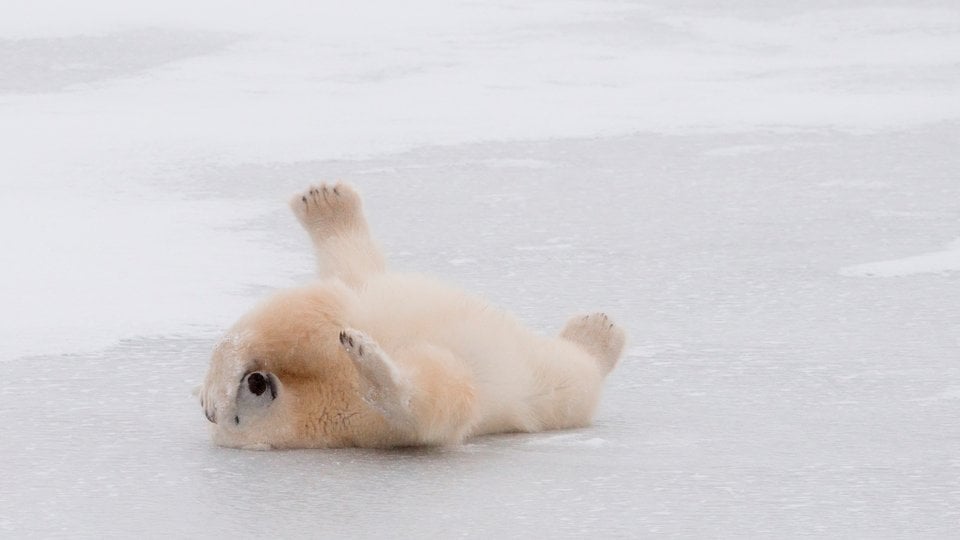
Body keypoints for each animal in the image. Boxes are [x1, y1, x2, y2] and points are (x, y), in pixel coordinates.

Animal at [199, 183, 625, 449]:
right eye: (237, 420)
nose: (256, 381)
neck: (308, 399)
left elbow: (303, 317)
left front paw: (211, 387)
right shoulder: (355, 421)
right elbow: (435, 399)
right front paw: (368, 358)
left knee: (349, 274)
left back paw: (325, 201)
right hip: (545, 386)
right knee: (571, 377)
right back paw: (599, 331)